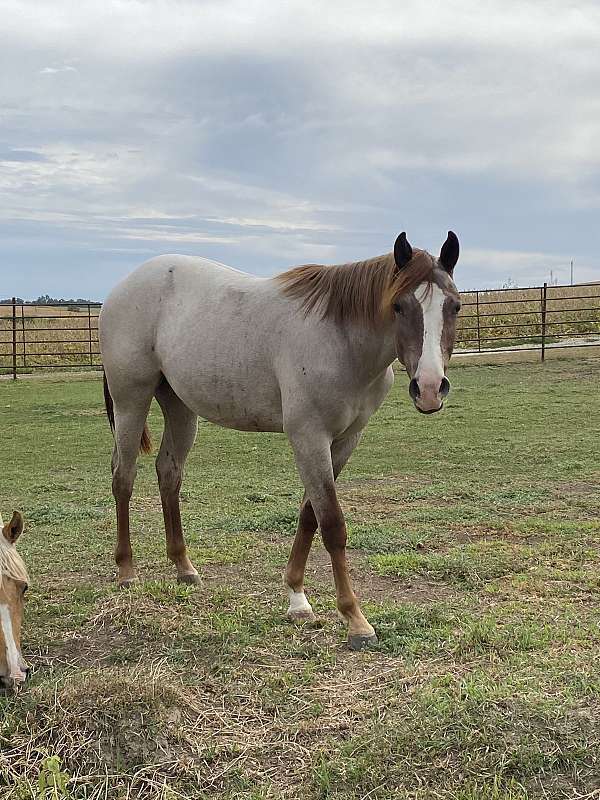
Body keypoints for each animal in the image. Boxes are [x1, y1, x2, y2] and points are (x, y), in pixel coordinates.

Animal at [101, 228, 462, 648]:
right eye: (400, 306)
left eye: (454, 306)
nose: (430, 388)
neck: (340, 340)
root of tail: (123, 287)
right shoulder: (309, 437)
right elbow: (332, 525)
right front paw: (355, 620)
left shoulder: (344, 441)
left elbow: (309, 516)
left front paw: (297, 599)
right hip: (131, 400)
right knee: (123, 477)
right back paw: (126, 570)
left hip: (180, 407)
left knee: (168, 474)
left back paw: (184, 567)